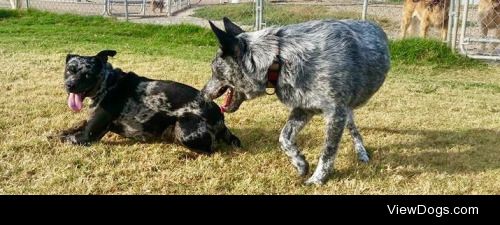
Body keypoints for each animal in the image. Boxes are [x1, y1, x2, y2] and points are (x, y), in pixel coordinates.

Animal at [55, 50, 241, 154]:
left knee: (212, 149)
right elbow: (74, 126)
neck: (108, 83)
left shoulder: (87, 136)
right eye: (69, 70)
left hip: (184, 126)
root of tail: (220, 118)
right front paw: (62, 129)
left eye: (87, 74)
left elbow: (65, 138)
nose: (70, 85)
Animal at [202, 18, 390, 185]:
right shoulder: (303, 108)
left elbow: (328, 152)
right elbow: (283, 138)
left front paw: (317, 180)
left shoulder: (335, 113)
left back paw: (361, 153)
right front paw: (300, 163)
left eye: (214, 70)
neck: (280, 59)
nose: (202, 93)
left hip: (347, 112)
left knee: (355, 132)